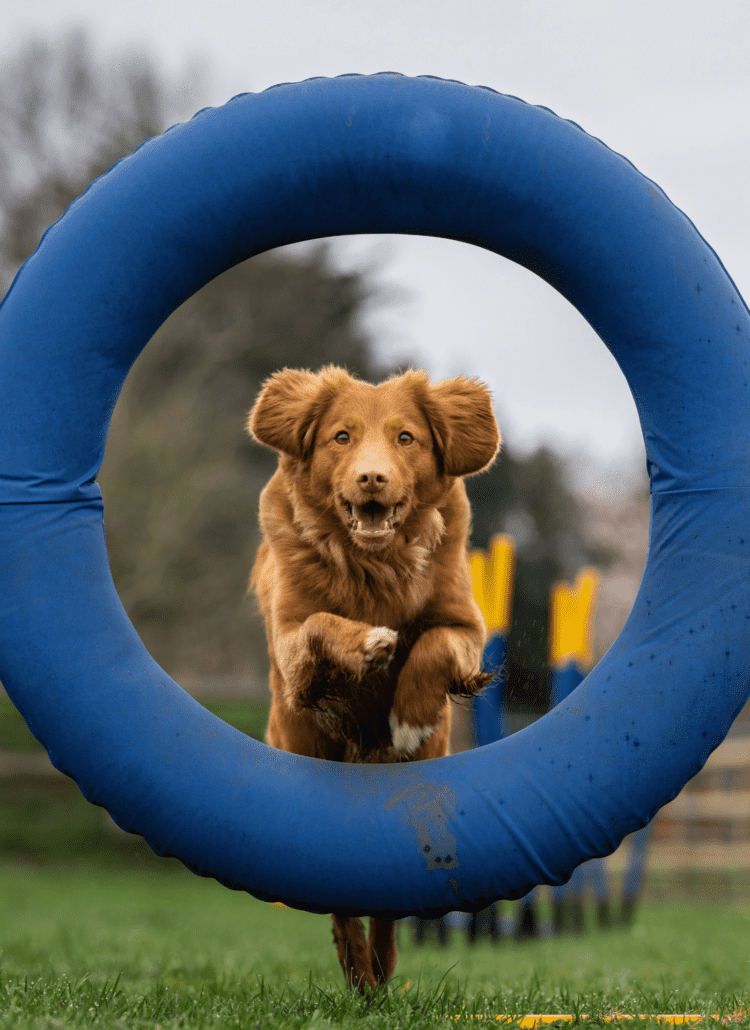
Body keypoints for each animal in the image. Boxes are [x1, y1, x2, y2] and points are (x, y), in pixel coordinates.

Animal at [247, 366, 498, 992]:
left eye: (405, 438)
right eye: (342, 437)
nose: (372, 477)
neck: (372, 564)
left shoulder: (465, 623)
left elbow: (432, 645)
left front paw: (407, 715)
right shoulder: (292, 642)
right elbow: (320, 624)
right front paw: (368, 644)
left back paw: (380, 970)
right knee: (341, 900)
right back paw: (359, 971)